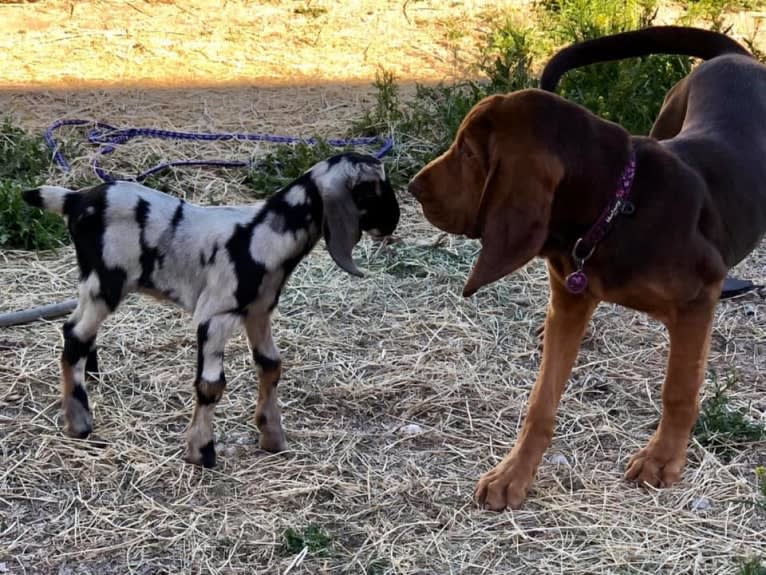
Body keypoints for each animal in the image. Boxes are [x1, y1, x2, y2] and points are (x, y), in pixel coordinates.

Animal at [22, 153, 402, 468]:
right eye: (371, 191)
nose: (393, 222)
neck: (261, 235)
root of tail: (77, 199)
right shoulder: (215, 315)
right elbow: (211, 384)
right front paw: (201, 451)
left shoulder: (258, 311)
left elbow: (271, 365)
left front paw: (272, 435)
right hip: (106, 280)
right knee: (74, 335)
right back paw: (79, 423)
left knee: (81, 334)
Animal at [412, 28, 766, 512]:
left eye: (468, 152)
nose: (413, 187)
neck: (616, 210)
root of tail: (736, 57)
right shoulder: (569, 297)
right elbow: (541, 402)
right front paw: (513, 475)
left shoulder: (698, 298)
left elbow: (678, 389)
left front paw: (662, 460)